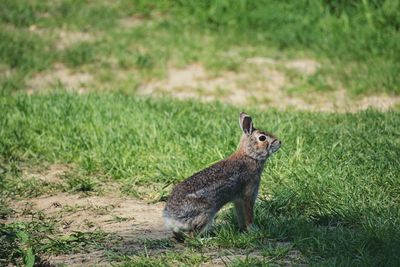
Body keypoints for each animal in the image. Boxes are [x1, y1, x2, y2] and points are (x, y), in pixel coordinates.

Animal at [162, 112, 282, 242]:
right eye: (262, 138)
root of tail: (170, 218)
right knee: (192, 235)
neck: (250, 155)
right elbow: (249, 215)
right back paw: (209, 239)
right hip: (207, 212)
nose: (279, 142)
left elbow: (240, 215)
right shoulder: (249, 194)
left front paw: (243, 230)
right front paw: (254, 231)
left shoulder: (238, 200)